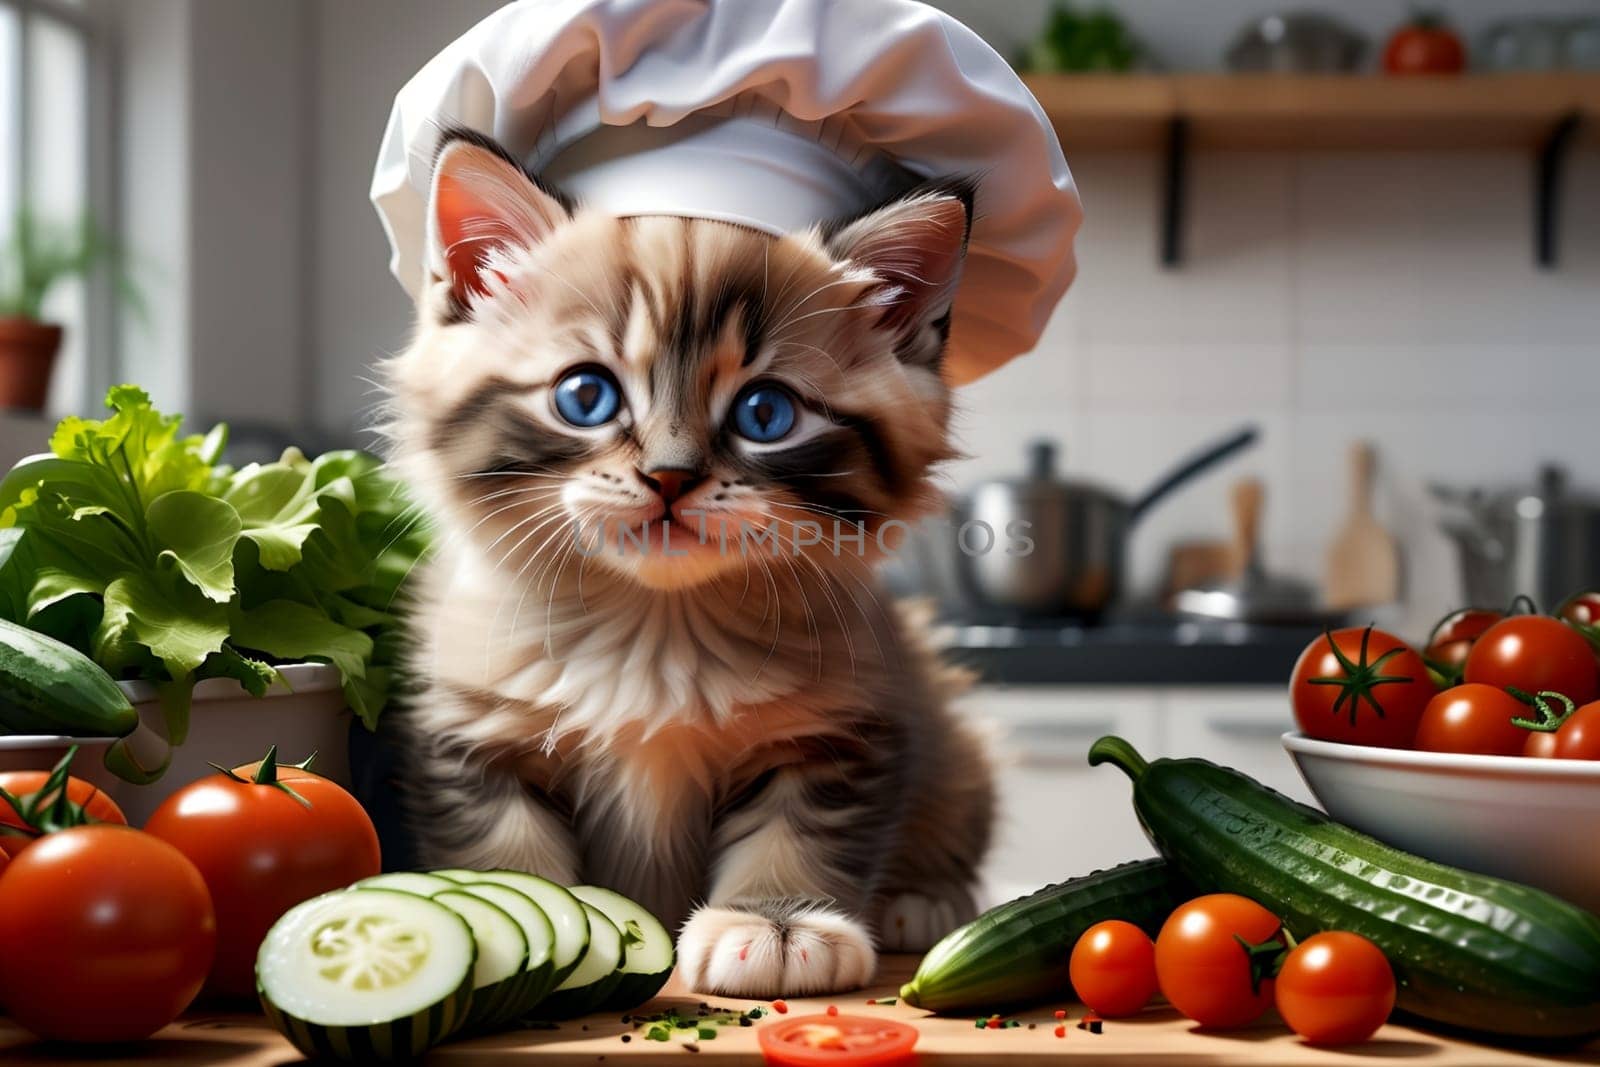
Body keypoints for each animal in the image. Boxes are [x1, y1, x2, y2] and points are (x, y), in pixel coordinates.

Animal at [382, 129, 992, 998]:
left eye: (765, 413)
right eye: (586, 396)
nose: (670, 476)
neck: (654, 627)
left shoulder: (847, 727)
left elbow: (798, 830)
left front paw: (777, 922)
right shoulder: (472, 731)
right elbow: (505, 849)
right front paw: (526, 927)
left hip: (957, 743)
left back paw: (926, 900)